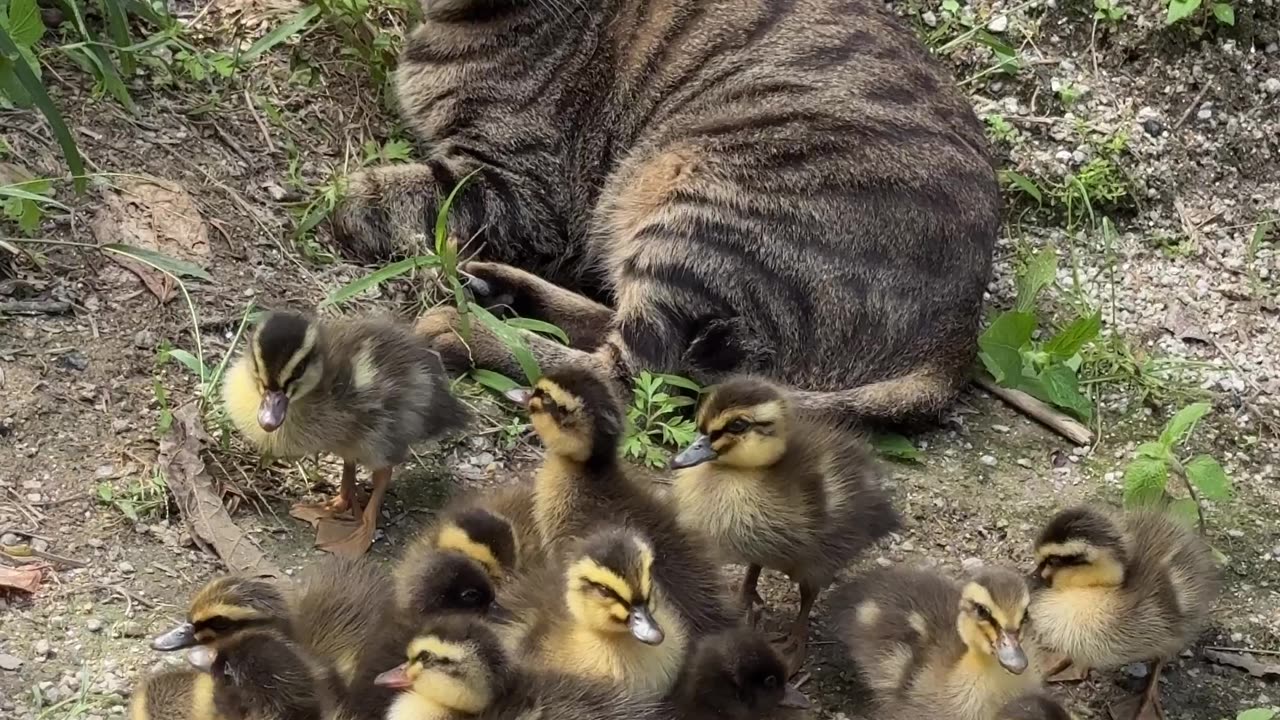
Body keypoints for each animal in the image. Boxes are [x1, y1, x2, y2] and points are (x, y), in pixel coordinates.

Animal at [332, 0, 998, 422]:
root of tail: (958, 341)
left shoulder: (524, 193)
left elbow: (403, 194)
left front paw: (343, 199)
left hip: (705, 211)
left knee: (631, 375)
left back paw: (471, 329)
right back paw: (499, 291)